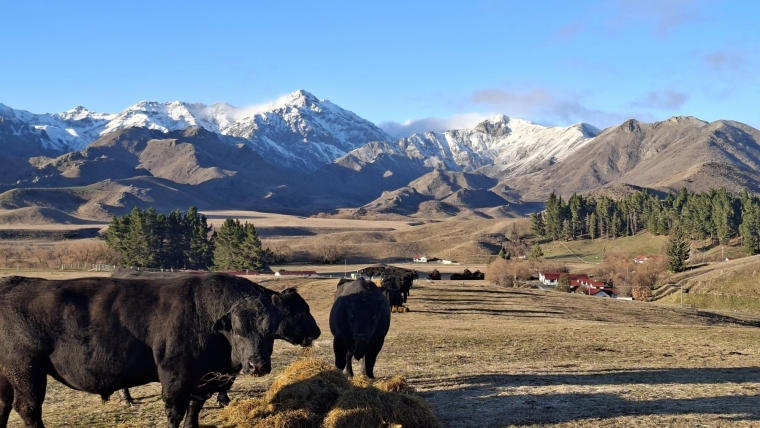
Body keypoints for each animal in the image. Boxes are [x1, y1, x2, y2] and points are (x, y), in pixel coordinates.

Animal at [0, 273, 282, 428]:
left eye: (271, 329)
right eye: (237, 329)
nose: (257, 366)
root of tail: (13, 283)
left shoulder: (203, 380)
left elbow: (194, 408)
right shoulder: (175, 377)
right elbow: (174, 412)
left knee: (4, 405)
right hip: (26, 372)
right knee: (27, 408)